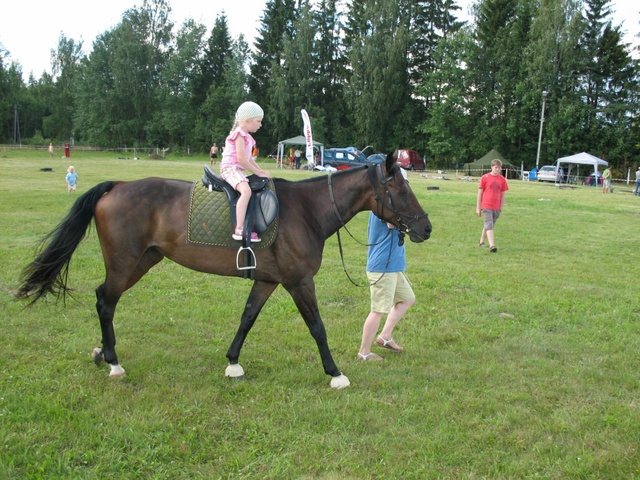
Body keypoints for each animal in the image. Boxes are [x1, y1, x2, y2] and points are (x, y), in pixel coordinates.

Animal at [17, 152, 432, 388]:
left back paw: (103, 353)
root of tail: (116, 186)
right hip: (125, 263)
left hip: (143, 261)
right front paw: (335, 374)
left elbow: (247, 318)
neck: (307, 211)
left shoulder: (267, 280)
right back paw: (114, 363)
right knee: (106, 301)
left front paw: (233, 363)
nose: (426, 228)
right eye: (401, 191)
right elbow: (317, 327)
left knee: (104, 298)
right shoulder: (298, 282)